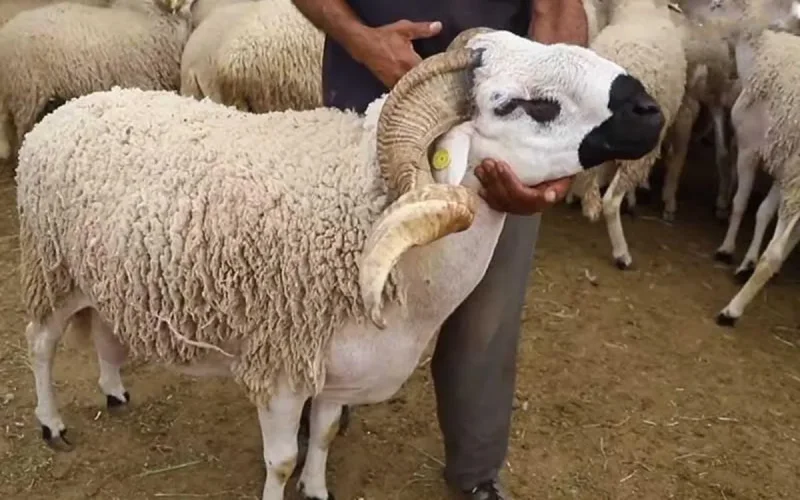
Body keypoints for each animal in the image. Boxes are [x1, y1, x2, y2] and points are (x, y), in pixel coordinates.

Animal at [17, 28, 664, 500]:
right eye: (526, 106)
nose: (650, 110)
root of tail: (69, 109)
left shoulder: (338, 370)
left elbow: (324, 435)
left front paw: (319, 489)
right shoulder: (281, 364)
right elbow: (281, 461)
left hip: (102, 274)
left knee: (105, 329)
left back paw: (114, 389)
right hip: (51, 267)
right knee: (41, 343)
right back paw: (51, 424)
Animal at [680, 0, 800, 325]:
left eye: (717, 4)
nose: (684, 11)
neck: (759, 55)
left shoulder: (750, 149)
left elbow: (741, 202)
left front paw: (727, 248)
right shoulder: (781, 165)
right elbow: (763, 211)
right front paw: (747, 260)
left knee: (776, 253)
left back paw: (731, 311)